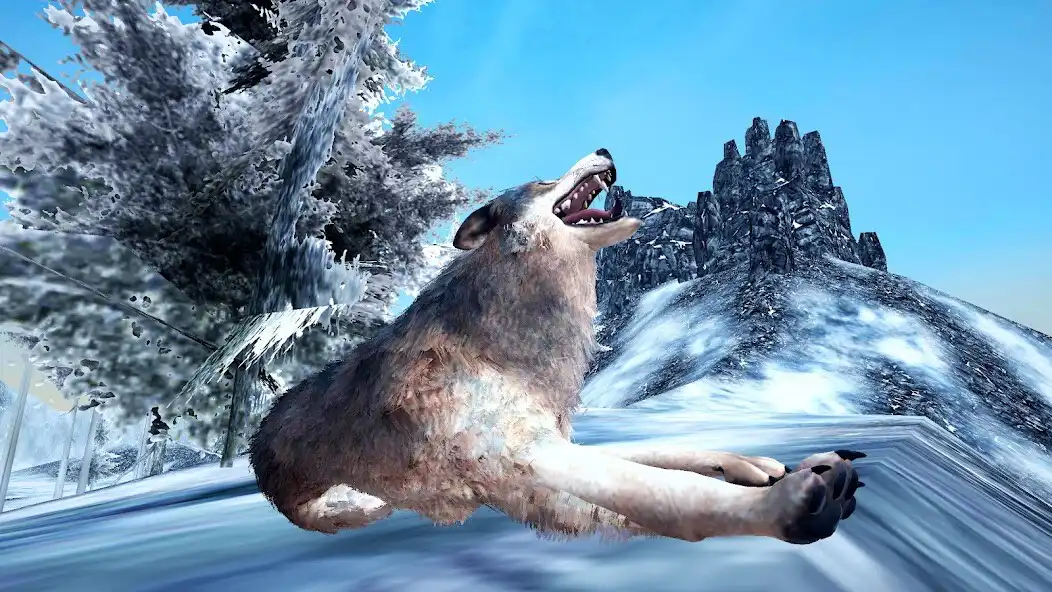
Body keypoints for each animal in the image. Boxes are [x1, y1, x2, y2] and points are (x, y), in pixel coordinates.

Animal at [249, 148, 864, 544]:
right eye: (542, 181)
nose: (604, 148)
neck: (505, 348)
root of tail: (259, 434)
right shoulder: (525, 459)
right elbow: (669, 491)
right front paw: (791, 504)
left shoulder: (550, 444)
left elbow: (662, 459)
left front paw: (749, 462)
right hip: (346, 503)